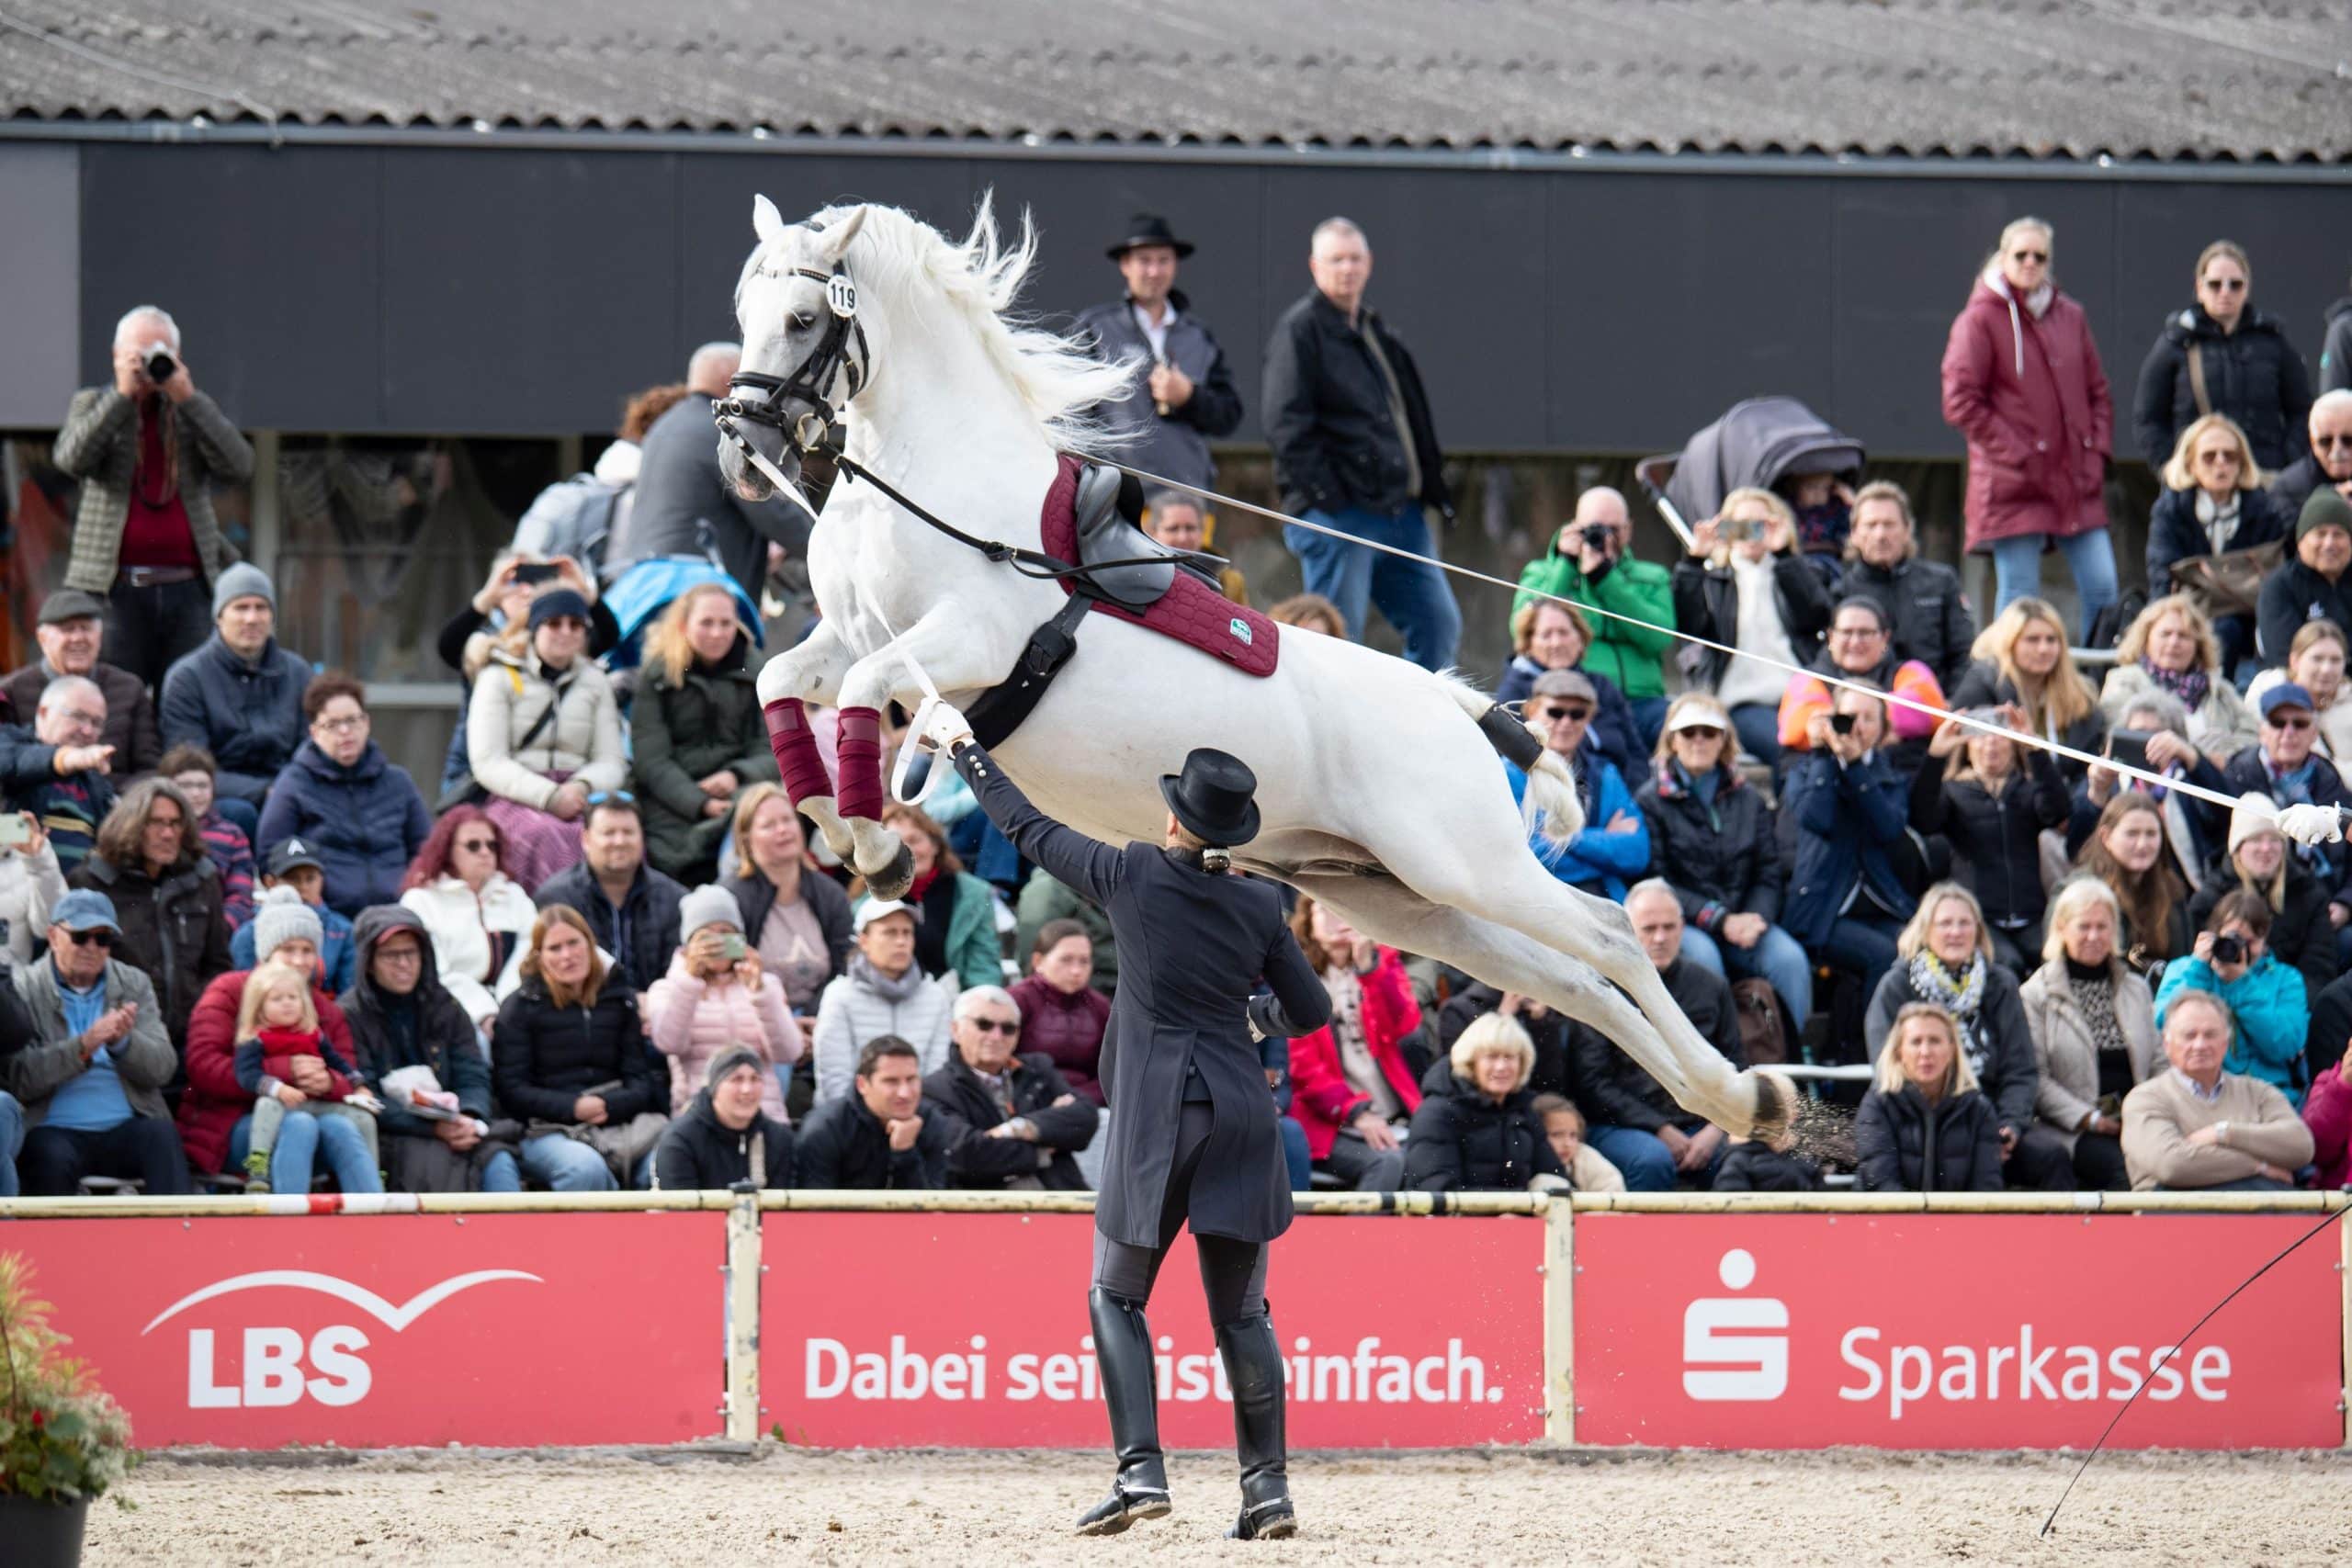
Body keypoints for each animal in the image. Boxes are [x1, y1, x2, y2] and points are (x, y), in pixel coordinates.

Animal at [715, 192, 1778, 1142]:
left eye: (802, 318)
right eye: (742, 313)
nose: (737, 446)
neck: (933, 486)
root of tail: (1454, 704)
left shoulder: (959, 645)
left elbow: (857, 696)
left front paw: (874, 845)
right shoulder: (849, 640)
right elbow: (779, 685)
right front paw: (844, 832)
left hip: (1467, 867)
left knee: (1608, 937)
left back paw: (1746, 1096)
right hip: (1403, 899)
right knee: (1567, 979)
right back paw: (1737, 1101)